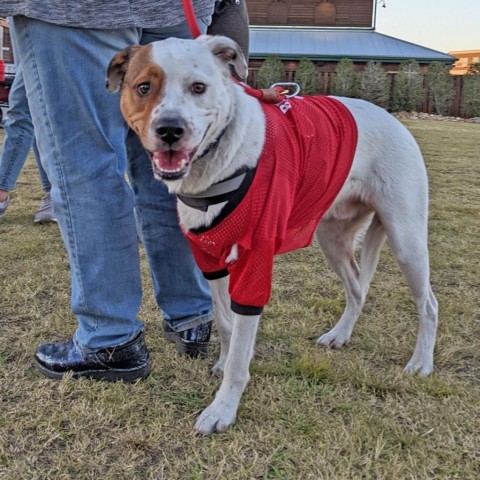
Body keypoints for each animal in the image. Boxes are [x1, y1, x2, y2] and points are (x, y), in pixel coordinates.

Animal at [108, 35, 438, 436]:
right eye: (144, 87)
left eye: (198, 87)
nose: (170, 130)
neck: (218, 162)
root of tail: (393, 118)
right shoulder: (211, 261)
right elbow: (225, 324)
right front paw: (224, 361)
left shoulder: (255, 265)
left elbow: (240, 349)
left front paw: (223, 408)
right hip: (332, 239)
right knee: (358, 290)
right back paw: (340, 335)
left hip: (406, 239)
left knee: (429, 305)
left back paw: (421, 363)